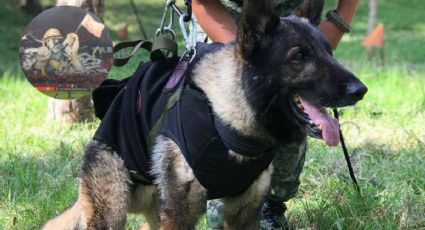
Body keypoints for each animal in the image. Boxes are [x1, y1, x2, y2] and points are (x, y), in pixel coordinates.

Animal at [44, 0, 366, 228]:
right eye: (299, 56)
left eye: (328, 52)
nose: (360, 90)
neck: (230, 121)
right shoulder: (181, 213)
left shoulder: (245, 211)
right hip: (112, 211)